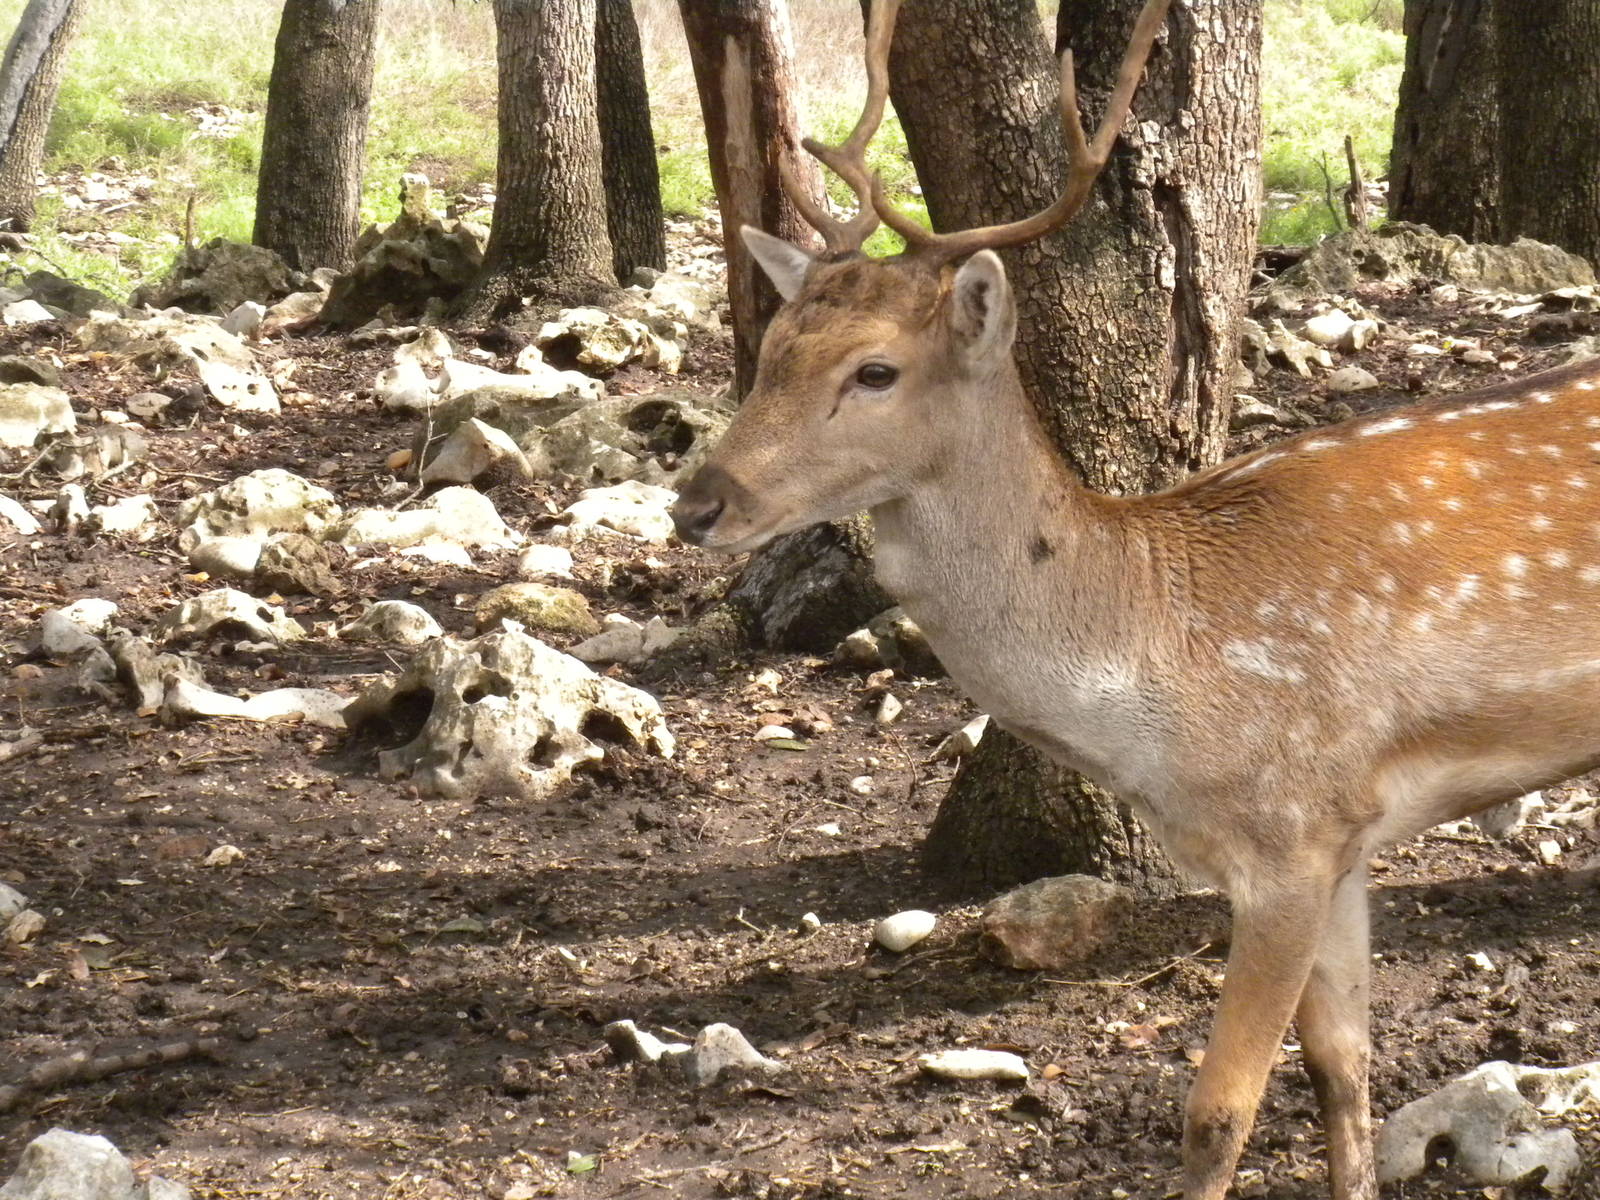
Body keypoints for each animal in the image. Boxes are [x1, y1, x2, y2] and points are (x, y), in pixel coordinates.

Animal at [669, 0, 1600, 1196]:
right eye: (775, 343)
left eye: (874, 371)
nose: (697, 502)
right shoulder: (1344, 834)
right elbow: (1343, 1069)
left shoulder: (1289, 830)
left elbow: (1217, 1110)